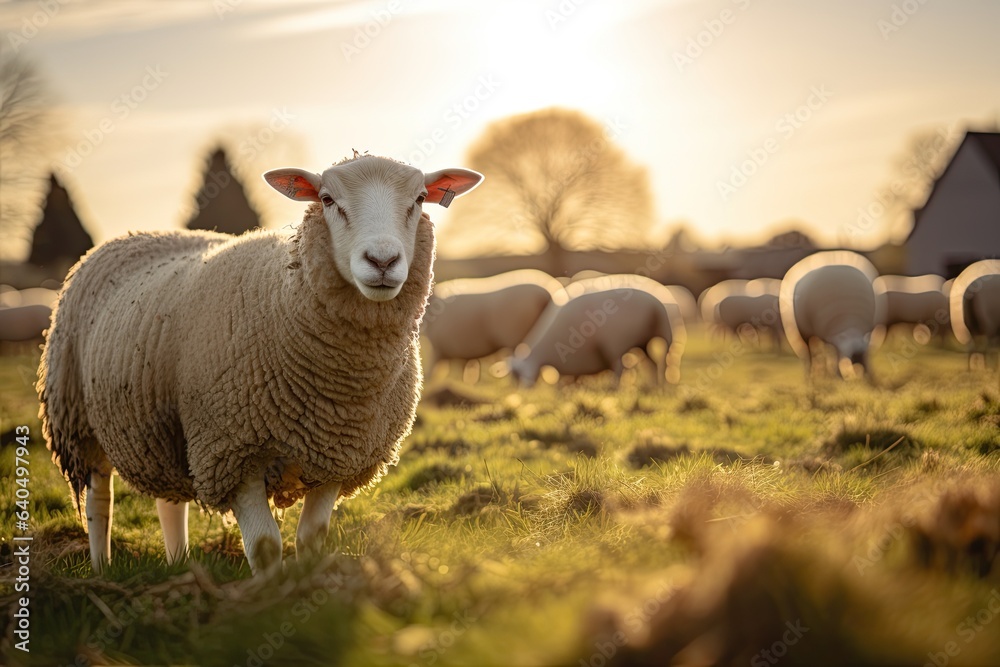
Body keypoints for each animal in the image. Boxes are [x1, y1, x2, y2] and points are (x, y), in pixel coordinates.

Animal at [37, 154, 483, 575]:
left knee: (168, 502)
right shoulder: (233, 453)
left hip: (162, 428)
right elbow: (266, 546)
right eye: (327, 199)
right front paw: (269, 596)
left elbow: (312, 537)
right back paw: (102, 567)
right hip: (77, 417)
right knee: (99, 502)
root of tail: (134, 235)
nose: (383, 260)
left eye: (420, 198)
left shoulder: (337, 454)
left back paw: (180, 561)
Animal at [509, 274, 686, 386]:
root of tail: (658, 303)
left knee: (661, 361)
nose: (523, 390)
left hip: (630, 340)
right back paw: (655, 386)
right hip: (643, 341)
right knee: (653, 363)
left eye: (518, 373)